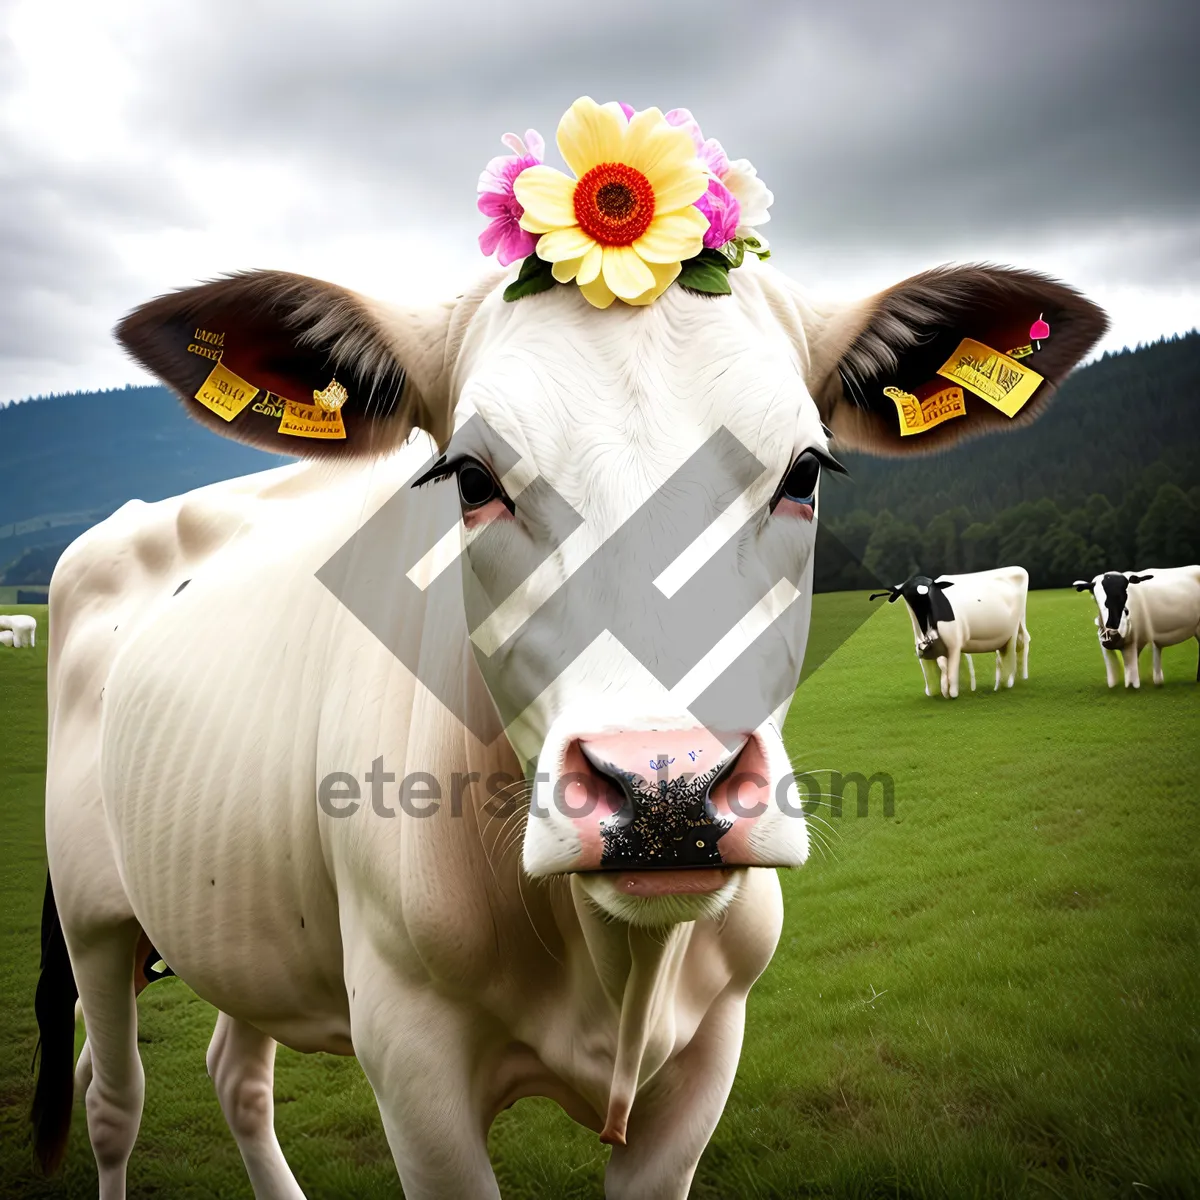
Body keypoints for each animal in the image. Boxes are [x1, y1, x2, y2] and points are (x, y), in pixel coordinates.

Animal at [873, 566, 1032, 700]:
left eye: (931, 593)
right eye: (909, 596)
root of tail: (1016, 569)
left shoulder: (954, 645)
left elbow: (951, 672)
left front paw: (953, 693)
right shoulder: (924, 650)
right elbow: (932, 677)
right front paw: (942, 692)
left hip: (1012, 629)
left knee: (1014, 649)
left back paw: (1009, 682)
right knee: (1014, 647)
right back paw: (1012, 679)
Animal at [1070, 568, 1200, 691]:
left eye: (1125, 594)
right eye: (1096, 599)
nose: (1113, 633)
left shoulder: (1132, 641)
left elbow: (1131, 670)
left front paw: (1133, 686)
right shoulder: (1104, 642)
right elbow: (1112, 670)